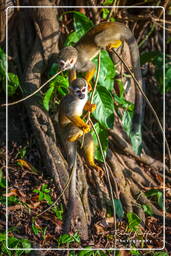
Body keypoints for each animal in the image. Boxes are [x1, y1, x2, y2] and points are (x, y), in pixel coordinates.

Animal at [58, 78, 102, 234]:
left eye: (83, 90)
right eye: (77, 91)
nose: (82, 95)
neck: (77, 99)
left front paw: (91, 107)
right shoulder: (71, 103)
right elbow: (71, 115)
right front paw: (83, 125)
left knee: (88, 138)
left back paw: (90, 163)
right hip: (65, 130)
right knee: (73, 126)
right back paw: (75, 134)